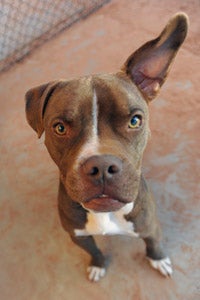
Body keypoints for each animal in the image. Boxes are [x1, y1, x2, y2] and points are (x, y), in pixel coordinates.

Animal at [24, 13, 188, 282]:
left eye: (135, 121)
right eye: (60, 128)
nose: (101, 166)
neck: (106, 216)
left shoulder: (150, 226)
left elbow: (153, 244)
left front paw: (158, 259)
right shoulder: (78, 236)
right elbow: (94, 251)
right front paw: (98, 264)